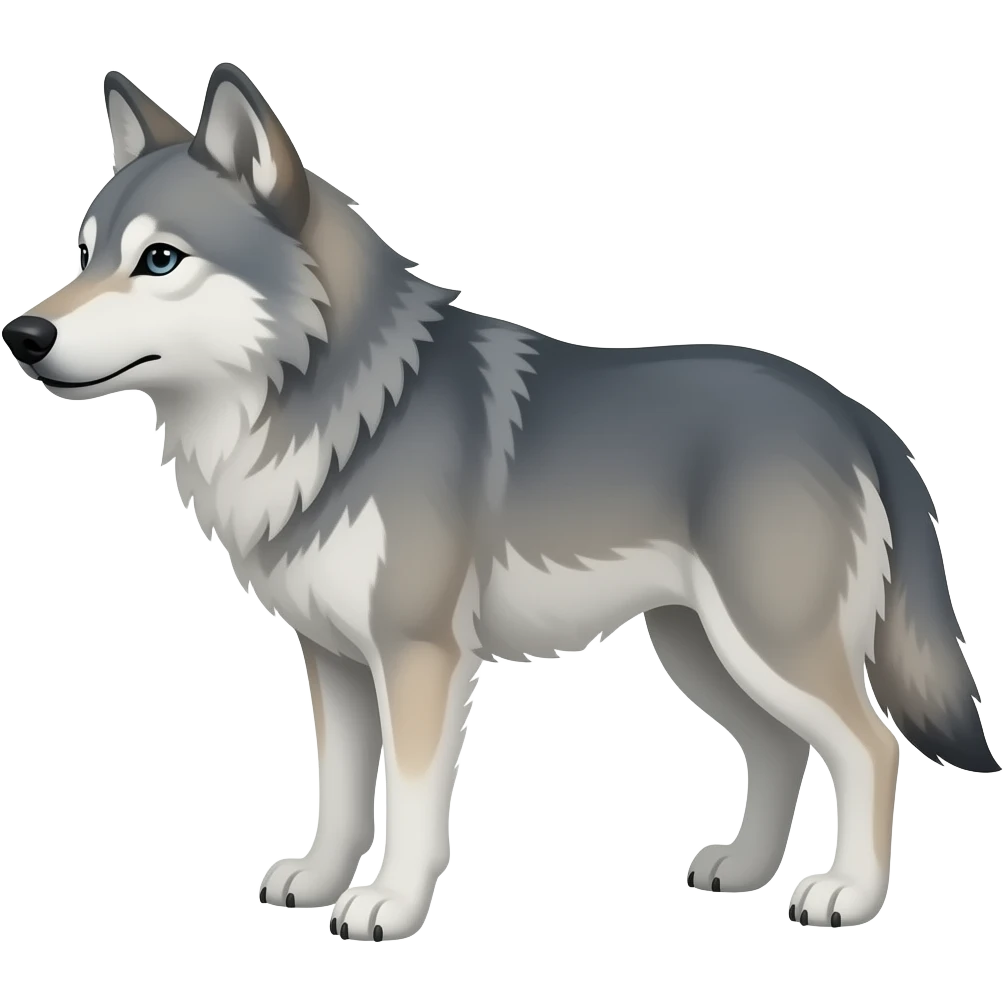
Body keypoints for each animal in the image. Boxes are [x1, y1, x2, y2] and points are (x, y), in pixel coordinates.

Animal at [3, 62, 996, 941]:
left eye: (160, 260)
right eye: (86, 253)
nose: (23, 333)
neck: (343, 414)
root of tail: (852, 411)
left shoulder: (419, 657)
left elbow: (409, 801)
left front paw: (388, 908)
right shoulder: (333, 660)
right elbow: (337, 791)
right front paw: (319, 883)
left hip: (767, 645)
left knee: (869, 746)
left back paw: (847, 895)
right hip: (704, 650)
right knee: (782, 748)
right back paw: (745, 870)